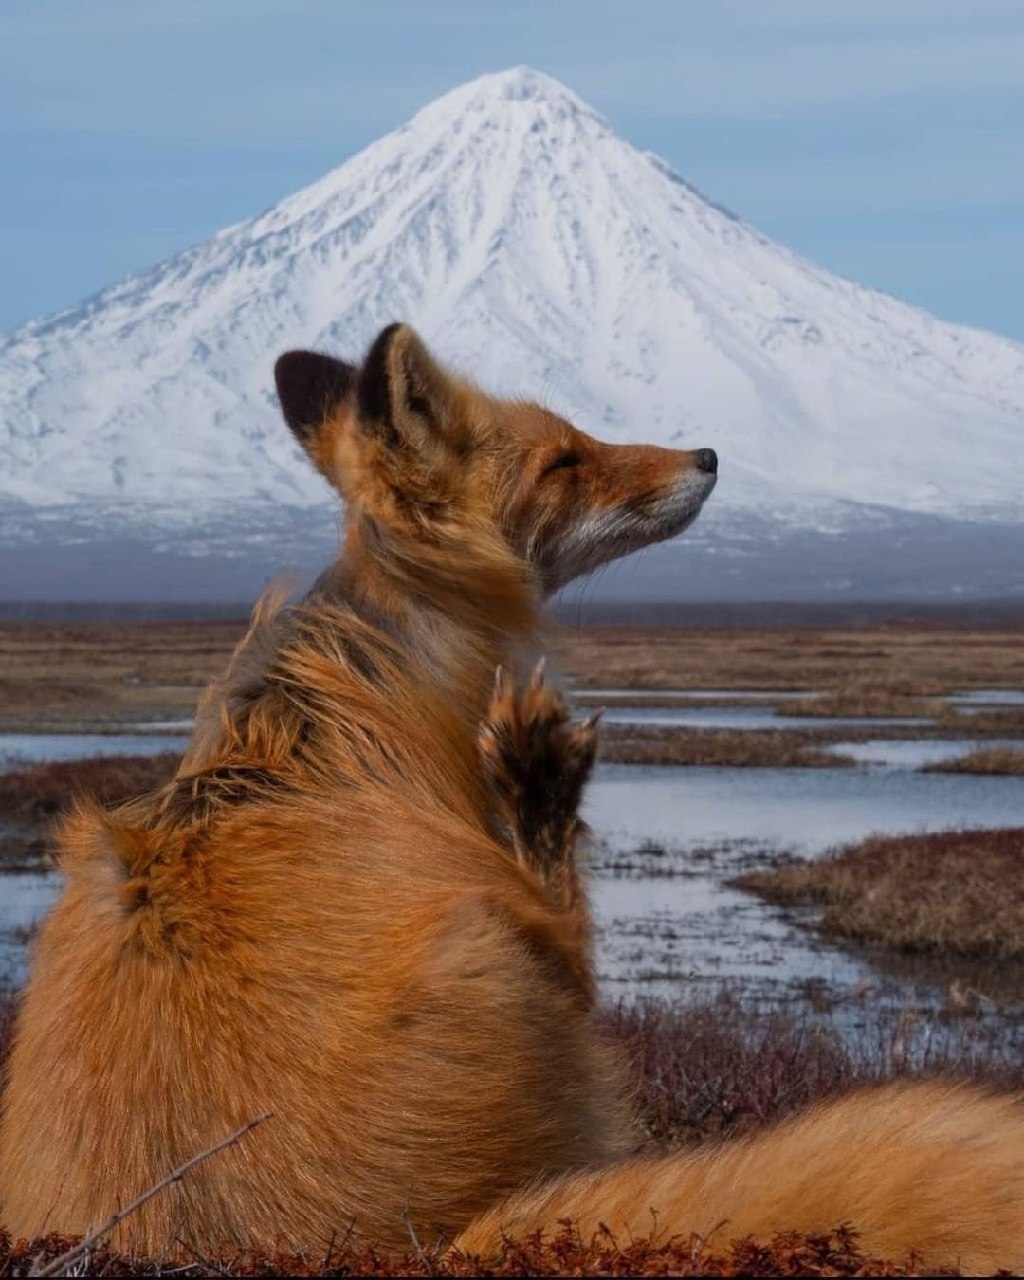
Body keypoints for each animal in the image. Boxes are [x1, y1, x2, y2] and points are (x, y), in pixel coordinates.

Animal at [2, 322, 1024, 1269]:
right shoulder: (534, 934)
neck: (340, 707)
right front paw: (541, 774)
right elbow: (568, 900)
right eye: (566, 460)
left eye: (582, 434)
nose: (706, 456)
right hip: (508, 973)